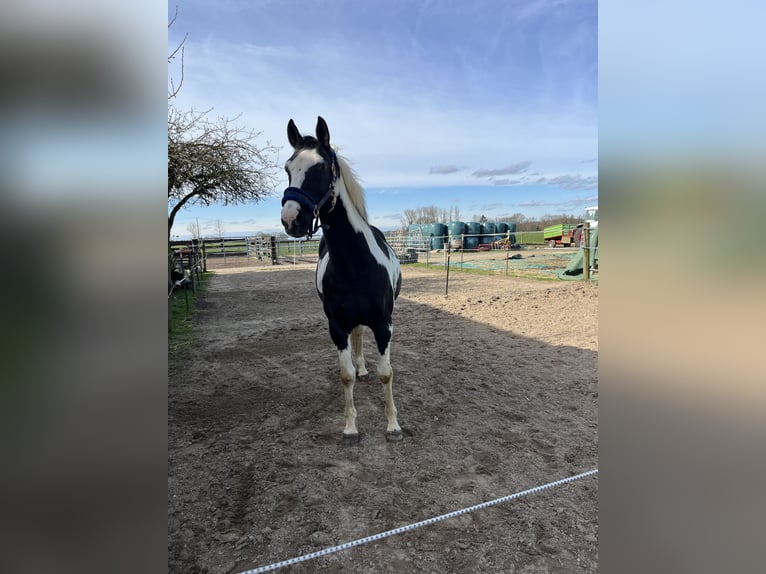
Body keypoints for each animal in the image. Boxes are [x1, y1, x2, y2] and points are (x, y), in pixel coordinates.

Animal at [280, 116, 403, 443]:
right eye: (287, 168)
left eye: (321, 167)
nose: (291, 219)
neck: (355, 264)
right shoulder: (336, 327)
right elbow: (345, 376)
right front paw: (350, 427)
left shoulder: (384, 324)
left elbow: (387, 373)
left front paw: (393, 425)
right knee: (357, 336)